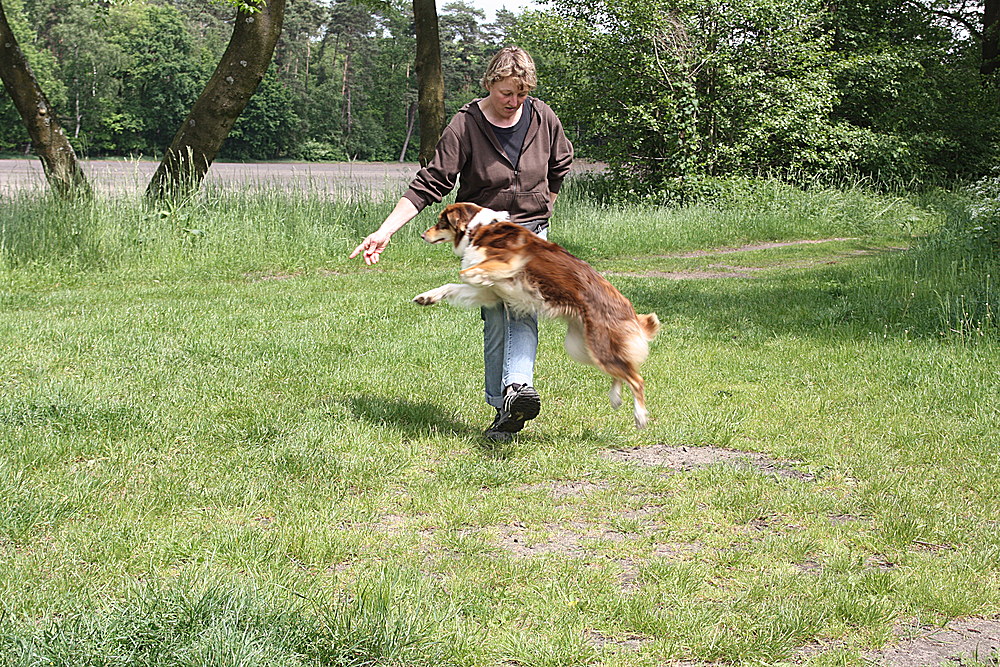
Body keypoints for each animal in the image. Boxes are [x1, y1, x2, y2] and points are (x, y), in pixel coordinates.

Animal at [410, 202, 660, 428]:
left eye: (441, 222)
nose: (422, 235)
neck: (480, 228)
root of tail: (630, 311)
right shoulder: (489, 294)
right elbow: (453, 285)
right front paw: (427, 297)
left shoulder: (507, 263)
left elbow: (467, 272)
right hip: (580, 347)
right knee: (623, 370)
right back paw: (615, 398)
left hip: (598, 346)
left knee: (637, 379)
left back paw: (640, 417)